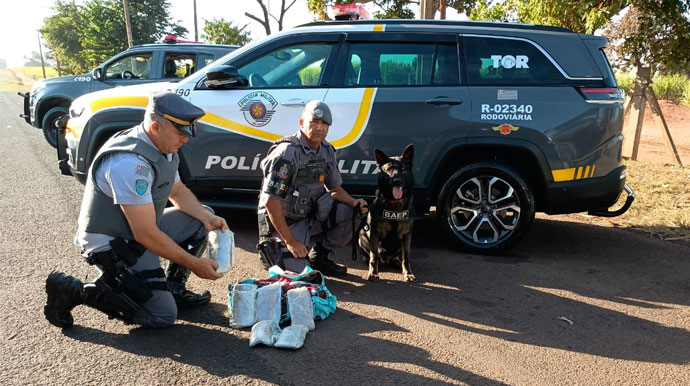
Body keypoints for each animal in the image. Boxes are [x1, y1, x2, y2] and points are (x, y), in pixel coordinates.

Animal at [358, 143, 416, 282]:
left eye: (403, 169)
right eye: (388, 169)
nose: (396, 181)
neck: (395, 204)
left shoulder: (407, 235)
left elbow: (406, 258)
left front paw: (408, 273)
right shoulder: (374, 233)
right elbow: (373, 257)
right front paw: (373, 273)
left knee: (399, 257)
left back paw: (397, 263)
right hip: (362, 233)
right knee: (372, 256)